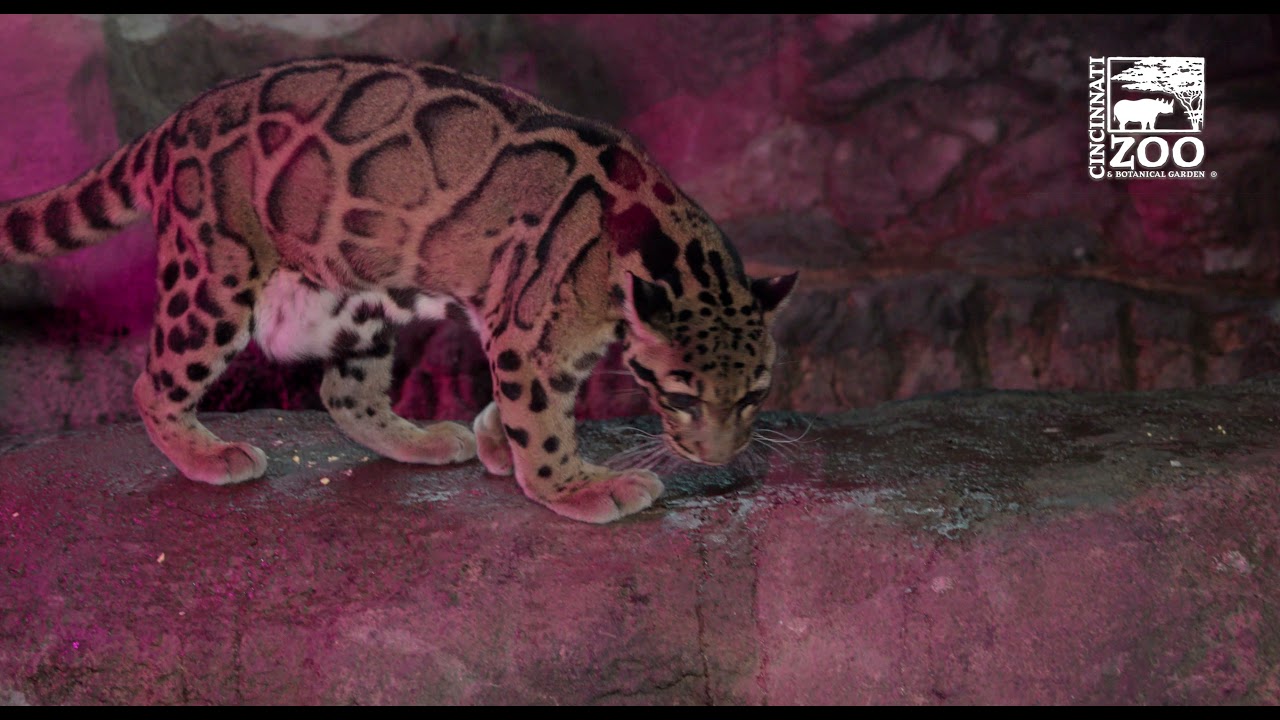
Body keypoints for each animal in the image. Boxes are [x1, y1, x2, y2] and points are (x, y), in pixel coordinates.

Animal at [0, 56, 797, 524]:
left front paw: (494, 438)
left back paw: (417, 438)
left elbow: (523, 410)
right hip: (216, 277)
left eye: (755, 393)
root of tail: (175, 121)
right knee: (154, 382)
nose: (720, 457)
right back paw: (206, 454)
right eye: (683, 396)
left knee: (341, 393)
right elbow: (542, 421)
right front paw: (573, 487)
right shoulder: (528, 333)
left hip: (352, 300)